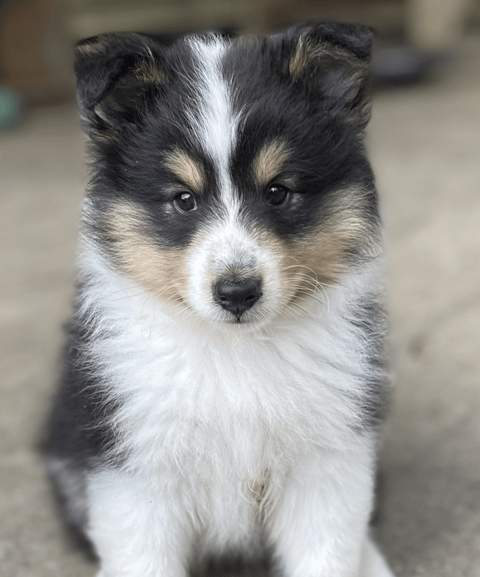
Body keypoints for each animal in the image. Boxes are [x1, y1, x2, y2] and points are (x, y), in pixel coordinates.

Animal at [47, 21, 394, 576]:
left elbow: (328, 549)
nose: (237, 292)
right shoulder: (136, 472)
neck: (235, 351)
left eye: (278, 191)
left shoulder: (327, 457)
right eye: (183, 199)